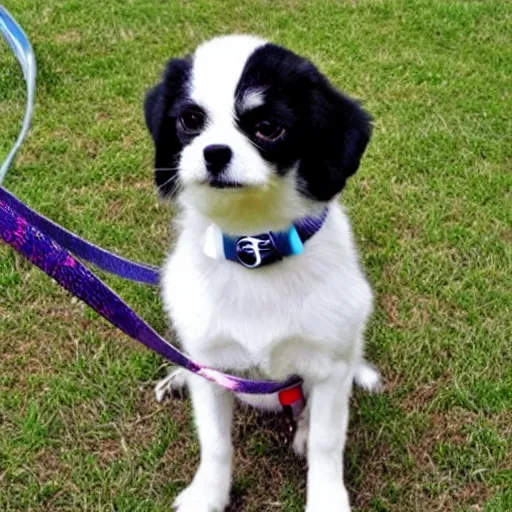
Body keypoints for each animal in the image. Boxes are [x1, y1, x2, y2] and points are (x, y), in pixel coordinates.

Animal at [144, 36, 380, 512]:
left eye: (268, 127)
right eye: (190, 120)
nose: (214, 153)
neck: (252, 247)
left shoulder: (329, 368)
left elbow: (327, 444)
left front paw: (326, 500)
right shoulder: (212, 367)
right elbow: (215, 443)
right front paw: (208, 495)